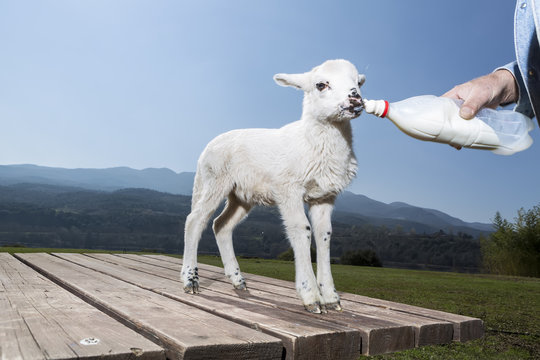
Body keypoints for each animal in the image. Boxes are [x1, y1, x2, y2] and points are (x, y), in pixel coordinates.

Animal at [182, 59, 368, 312]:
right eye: (321, 85)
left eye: (358, 82)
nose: (355, 99)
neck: (311, 142)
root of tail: (206, 148)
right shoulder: (288, 188)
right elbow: (301, 229)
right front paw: (311, 297)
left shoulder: (324, 196)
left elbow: (324, 235)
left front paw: (331, 298)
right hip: (214, 180)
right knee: (194, 220)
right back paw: (190, 280)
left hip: (241, 195)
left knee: (221, 225)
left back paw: (238, 281)